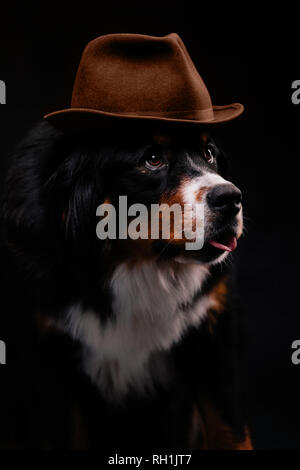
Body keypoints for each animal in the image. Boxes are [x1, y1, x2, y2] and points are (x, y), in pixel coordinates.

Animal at [0, 119, 252, 450]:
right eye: (153, 159)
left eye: (208, 152)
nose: (230, 198)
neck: (136, 267)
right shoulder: (50, 358)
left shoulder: (214, 336)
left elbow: (230, 432)